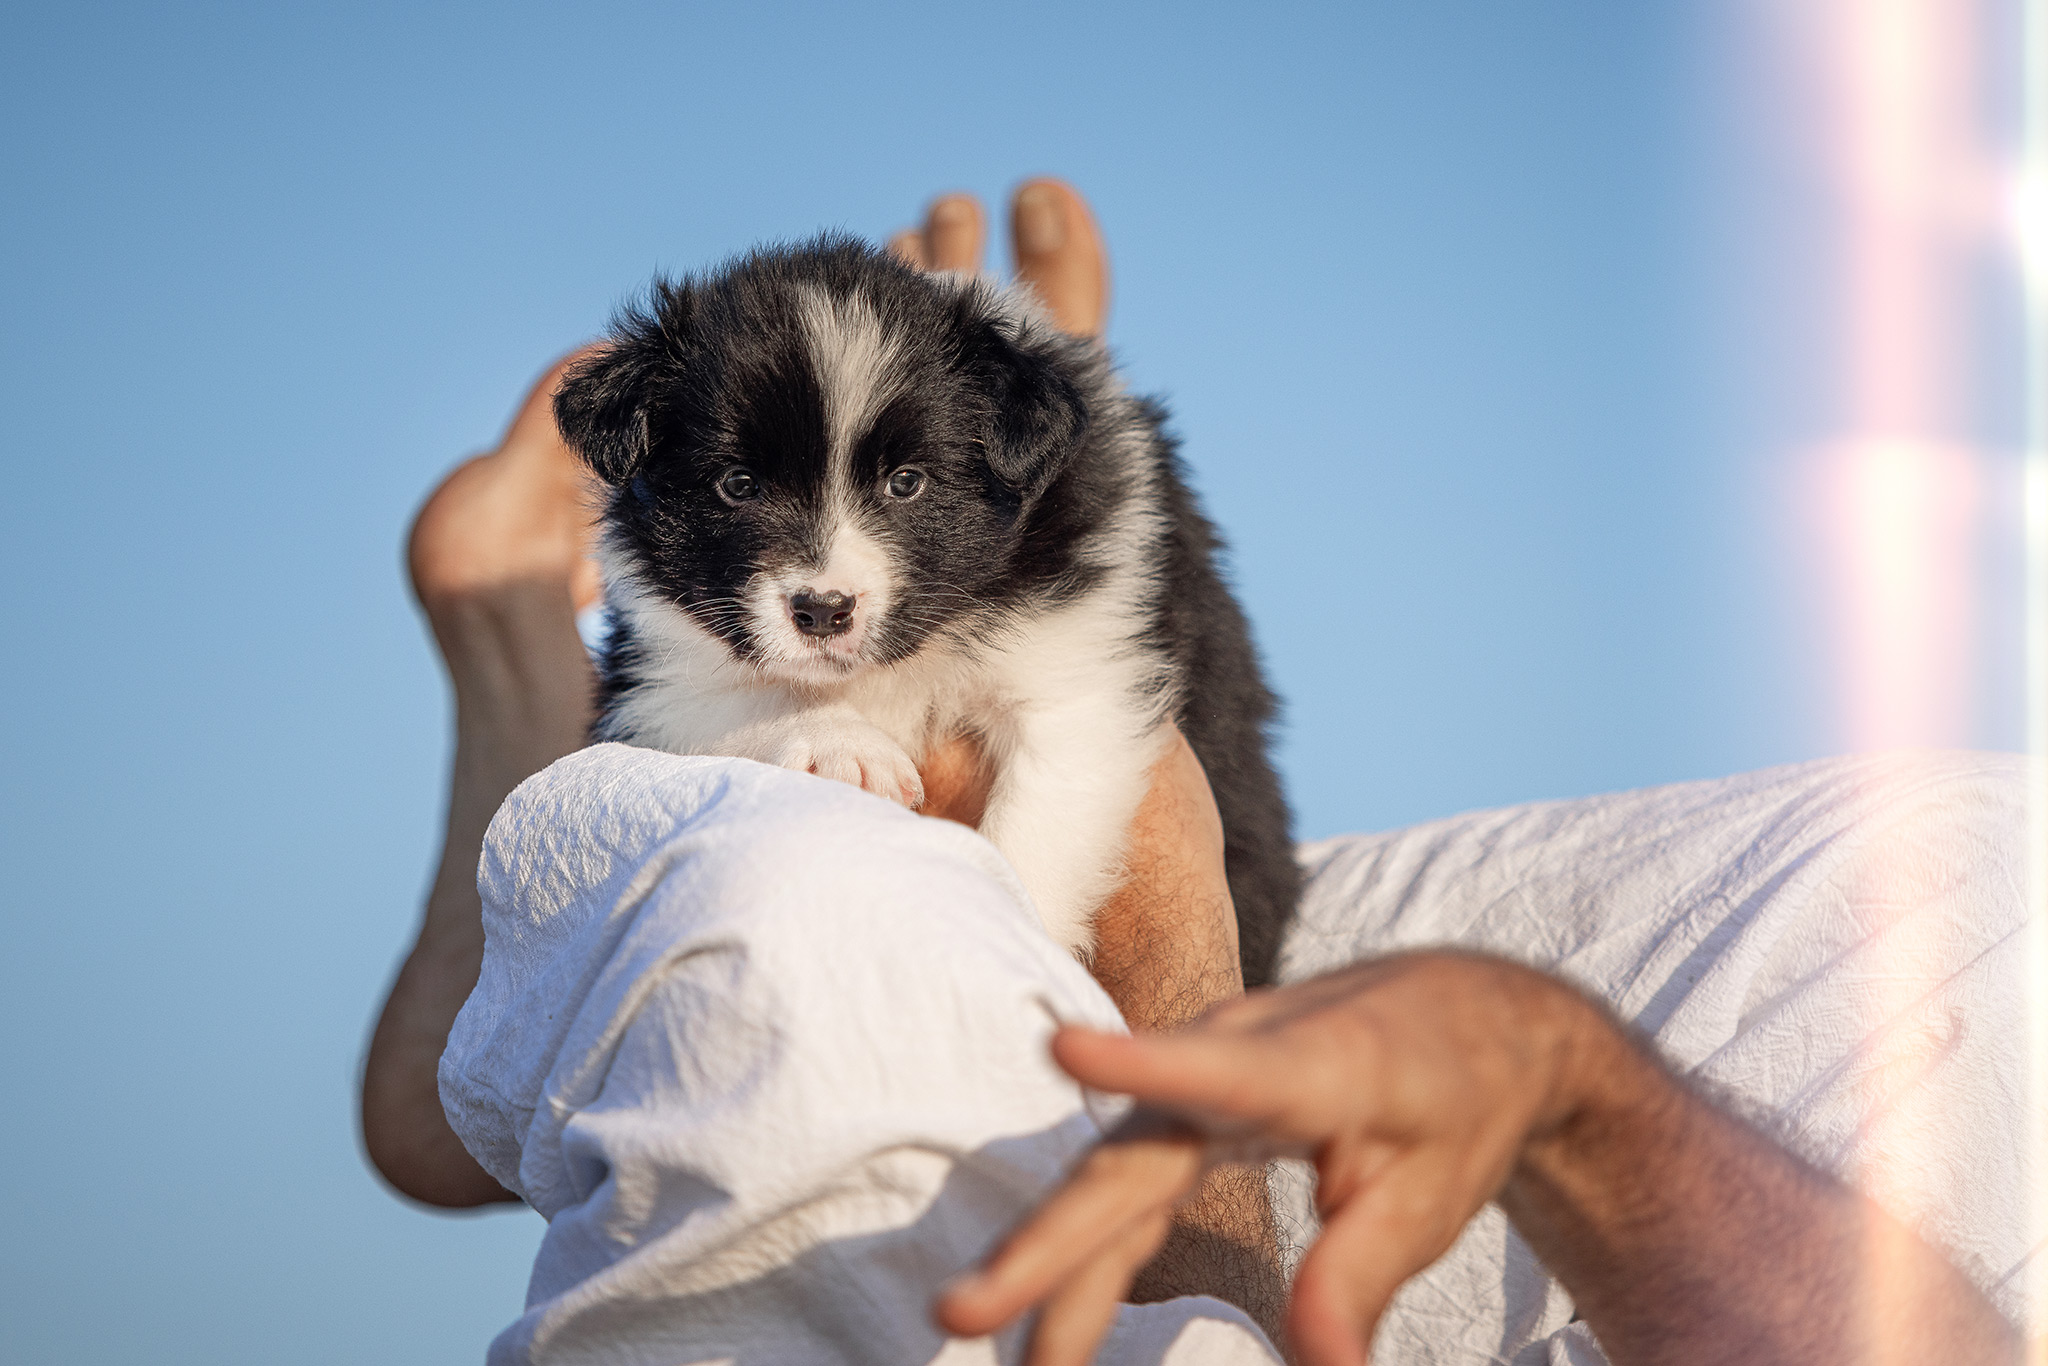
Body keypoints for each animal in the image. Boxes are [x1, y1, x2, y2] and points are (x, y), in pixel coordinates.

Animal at [552, 232, 1302, 983]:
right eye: (737, 484)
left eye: (906, 483)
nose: (822, 610)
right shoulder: (650, 681)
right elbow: (740, 698)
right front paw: (847, 746)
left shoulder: (1084, 671)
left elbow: (1035, 826)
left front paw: (1014, 942)